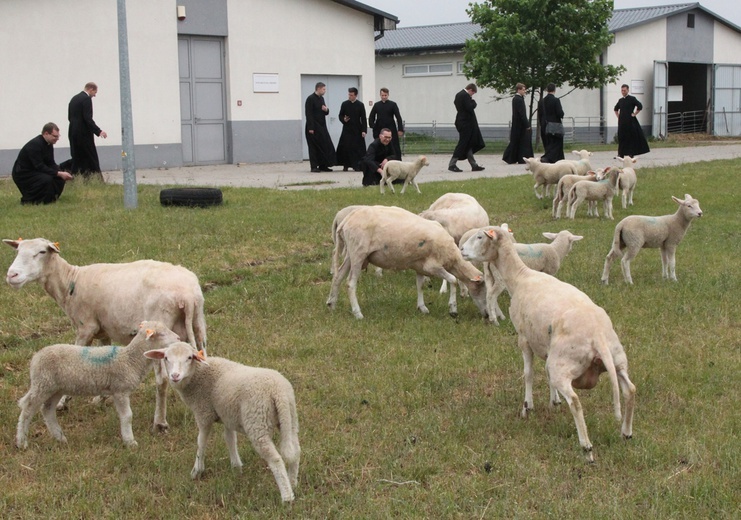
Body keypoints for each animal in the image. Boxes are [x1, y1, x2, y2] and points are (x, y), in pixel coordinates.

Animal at [4, 238, 207, 428]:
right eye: (18, 251)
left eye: (41, 252)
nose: (12, 275)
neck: (70, 281)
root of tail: (187, 296)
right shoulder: (103, 332)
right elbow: (103, 360)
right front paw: (100, 398)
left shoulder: (86, 328)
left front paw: (63, 402)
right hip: (198, 325)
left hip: (159, 334)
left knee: (162, 381)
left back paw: (159, 422)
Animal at [15, 318, 181, 448]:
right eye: (162, 333)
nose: (179, 338)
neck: (130, 359)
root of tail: (35, 358)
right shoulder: (120, 390)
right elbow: (127, 416)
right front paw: (130, 442)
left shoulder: (116, 391)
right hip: (43, 383)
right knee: (28, 408)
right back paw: (21, 442)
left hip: (56, 388)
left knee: (47, 410)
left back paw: (60, 438)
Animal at [143, 344, 300, 502]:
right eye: (166, 358)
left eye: (189, 357)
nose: (175, 376)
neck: (197, 375)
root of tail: (278, 392)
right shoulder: (227, 415)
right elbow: (230, 439)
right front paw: (236, 467)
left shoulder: (204, 413)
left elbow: (201, 442)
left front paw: (197, 471)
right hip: (290, 419)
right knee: (296, 450)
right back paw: (293, 483)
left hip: (257, 422)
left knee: (275, 459)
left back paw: (287, 497)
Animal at [326, 205, 488, 318]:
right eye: (483, 289)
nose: (487, 315)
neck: (453, 258)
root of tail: (346, 220)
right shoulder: (432, 267)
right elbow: (453, 280)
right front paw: (453, 309)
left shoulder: (420, 266)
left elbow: (420, 285)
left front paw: (422, 307)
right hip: (358, 252)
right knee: (350, 283)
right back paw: (357, 313)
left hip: (351, 254)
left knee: (338, 277)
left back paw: (332, 304)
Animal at [460, 225, 632, 462]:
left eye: (479, 237)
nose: (461, 250)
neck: (520, 276)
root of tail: (597, 335)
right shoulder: (547, 346)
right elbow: (546, 376)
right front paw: (554, 401)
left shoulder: (524, 338)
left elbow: (529, 374)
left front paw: (527, 407)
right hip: (615, 359)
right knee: (630, 390)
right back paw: (626, 432)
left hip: (565, 362)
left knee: (576, 401)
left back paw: (586, 447)